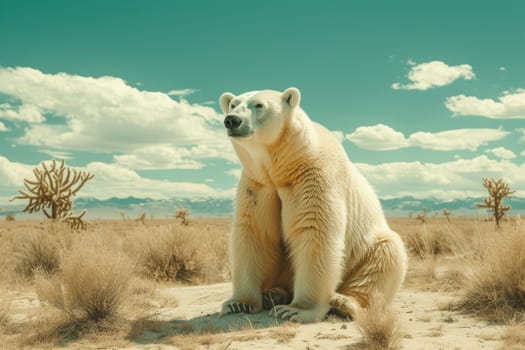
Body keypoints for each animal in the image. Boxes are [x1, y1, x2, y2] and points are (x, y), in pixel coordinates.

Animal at [219, 87, 408, 322]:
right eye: (233, 104)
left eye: (259, 105)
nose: (231, 120)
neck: (283, 165)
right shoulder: (258, 185)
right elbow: (254, 232)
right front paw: (239, 303)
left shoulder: (314, 176)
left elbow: (315, 231)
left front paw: (295, 310)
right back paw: (274, 293)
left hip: (367, 247)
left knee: (386, 256)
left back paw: (343, 302)